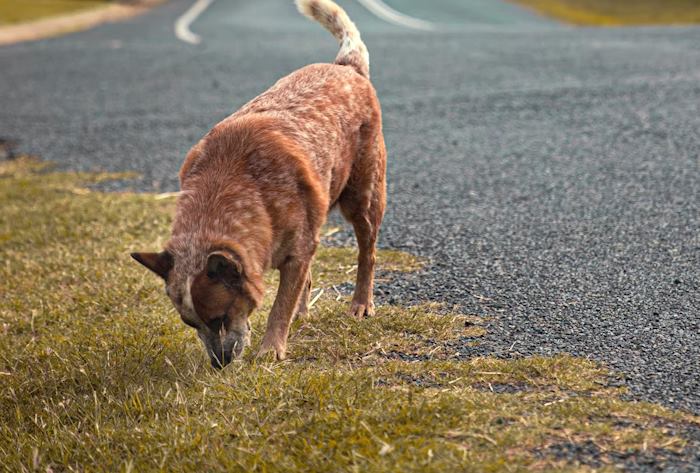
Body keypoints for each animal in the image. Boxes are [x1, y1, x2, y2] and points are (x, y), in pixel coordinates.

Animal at [131, 0, 388, 366]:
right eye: (190, 323)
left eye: (220, 318)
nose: (219, 364)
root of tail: (346, 67)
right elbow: (293, 290)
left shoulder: (298, 251)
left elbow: (280, 304)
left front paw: (271, 349)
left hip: (363, 196)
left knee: (367, 252)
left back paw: (361, 303)